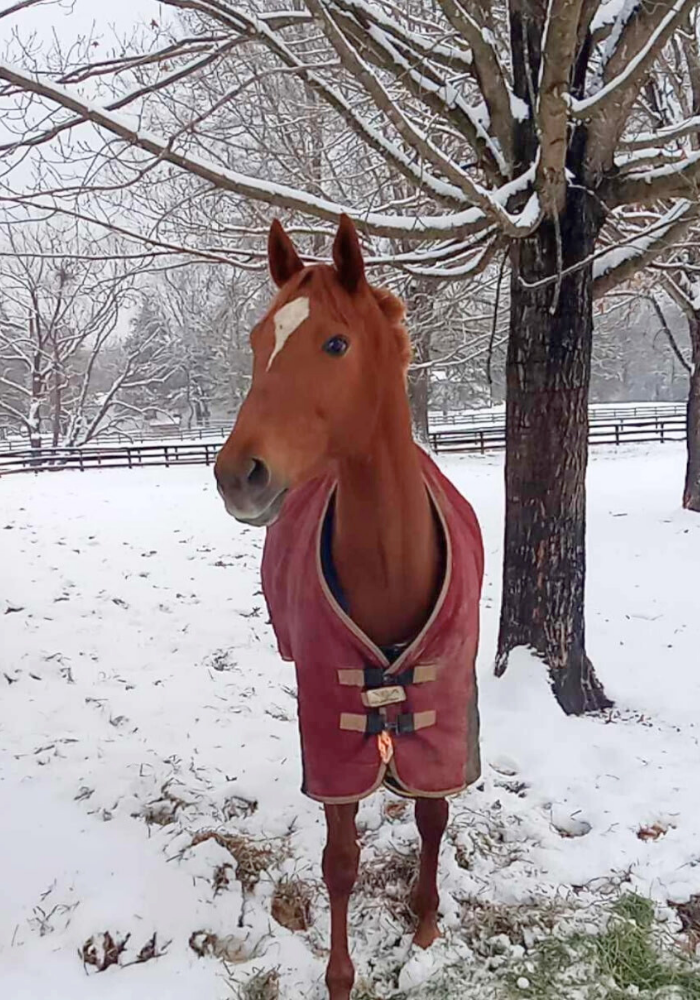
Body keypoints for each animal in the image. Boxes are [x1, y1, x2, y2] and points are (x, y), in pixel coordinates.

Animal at [214, 215, 483, 1000]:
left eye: (335, 343)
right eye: (258, 340)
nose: (238, 475)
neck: (392, 569)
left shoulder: (443, 714)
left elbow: (433, 814)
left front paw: (424, 927)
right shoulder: (333, 724)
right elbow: (339, 861)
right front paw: (340, 978)